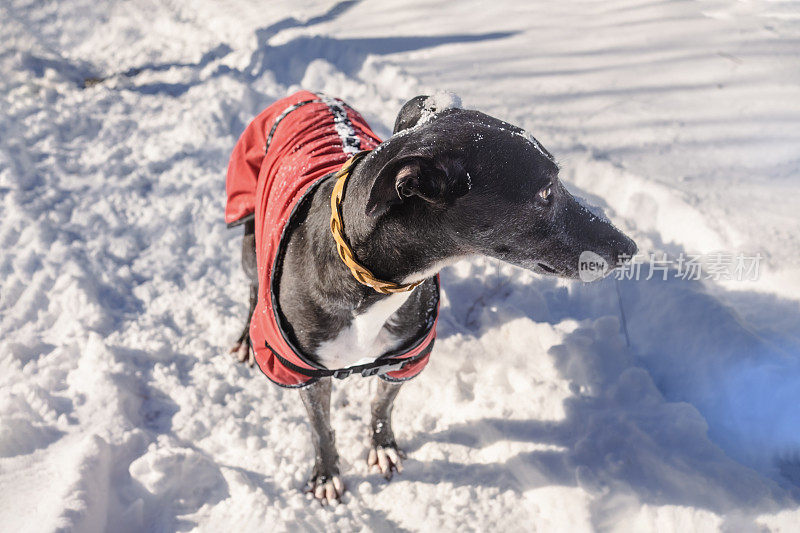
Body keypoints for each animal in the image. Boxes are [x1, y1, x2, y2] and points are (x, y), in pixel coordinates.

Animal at [228, 92, 636, 502]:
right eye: (546, 191)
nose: (629, 248)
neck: (373, 286)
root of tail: (310, 95)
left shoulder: (405, 359)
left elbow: (381, 406)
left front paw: (382, 446)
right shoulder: (301, 371)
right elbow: (320, 427)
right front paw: (326, 474)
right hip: (250, 235)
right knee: (252, 288)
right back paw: (246, 337)